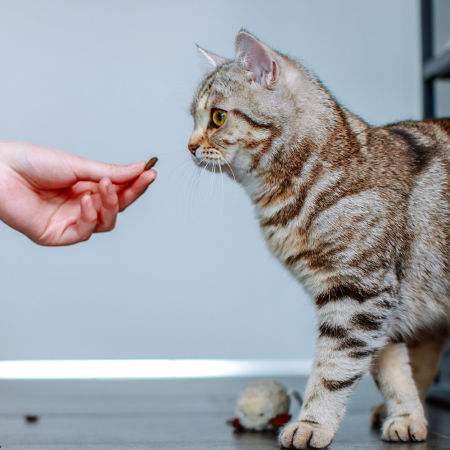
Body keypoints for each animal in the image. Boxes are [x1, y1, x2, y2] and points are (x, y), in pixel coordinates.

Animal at [188, 29, 448, 448]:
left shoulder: (359, 294)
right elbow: (392, 371)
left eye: (217, 117)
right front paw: (407, 417)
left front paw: (311, 424)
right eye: (193, 118)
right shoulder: (380, 305)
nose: (190, 145)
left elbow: (333, 370)